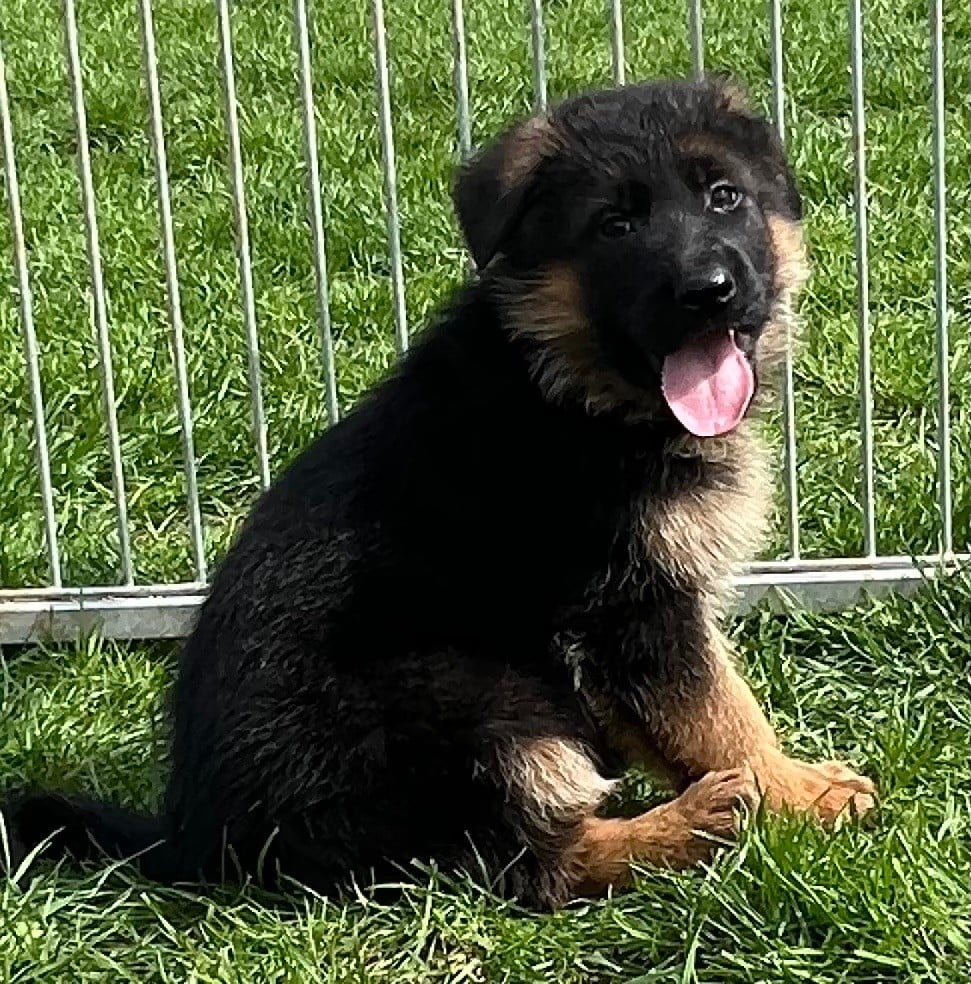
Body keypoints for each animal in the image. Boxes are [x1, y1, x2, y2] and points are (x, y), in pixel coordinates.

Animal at [0, 77, 876, 908]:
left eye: (723, 195)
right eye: (612, 227)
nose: (709, 290)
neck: (570, 386)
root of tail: (191, 846)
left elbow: (683, 715)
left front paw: (774, 784)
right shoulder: (632, 607)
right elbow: (720, 713)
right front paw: (792, 793)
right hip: (471, 694)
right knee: (533, 869)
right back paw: (694, 824)